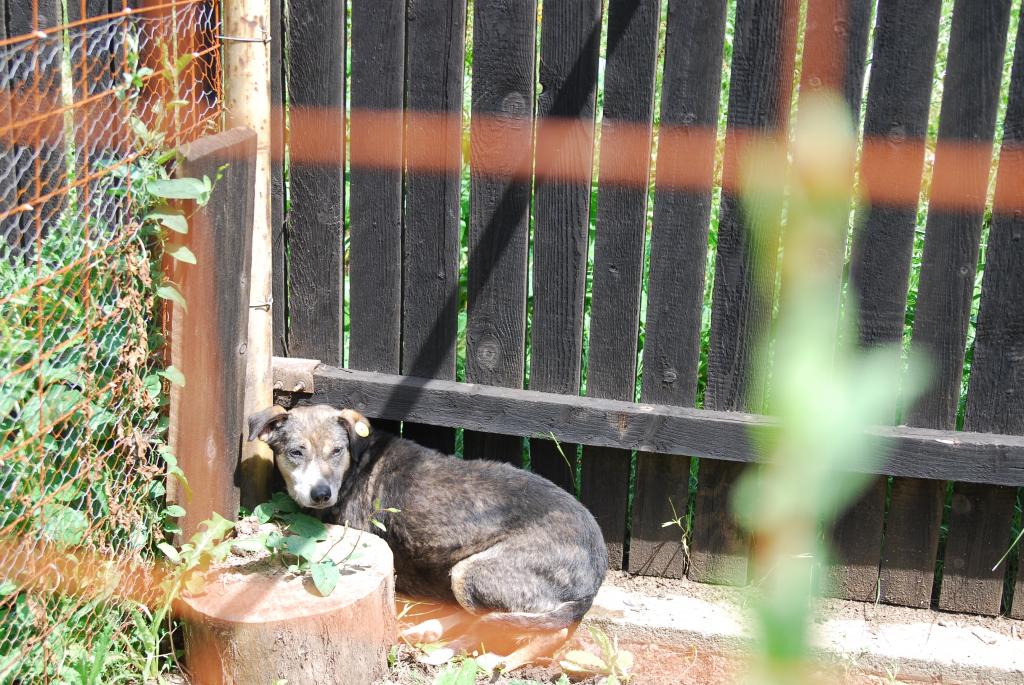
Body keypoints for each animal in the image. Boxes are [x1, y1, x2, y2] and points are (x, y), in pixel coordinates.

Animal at [247, 403, 606, 671]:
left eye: (337, 451)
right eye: (296, 452)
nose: (321, 494)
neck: (357, 462)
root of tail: (594, 577)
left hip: (471, 574)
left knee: (549, 631)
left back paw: (483, 658)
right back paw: (432, 634)